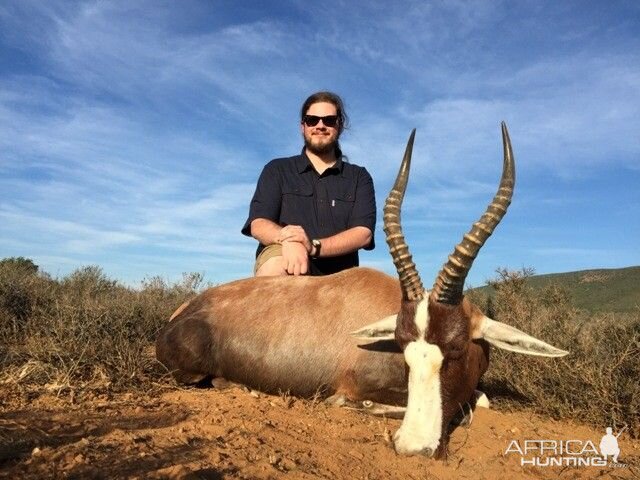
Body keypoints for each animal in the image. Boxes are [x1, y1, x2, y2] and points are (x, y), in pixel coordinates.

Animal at [158, 124, 568, 458]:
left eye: (455, 349)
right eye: (404, 350)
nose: (412, 447)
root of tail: (182, 313)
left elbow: (481, 402)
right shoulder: (357, 387)